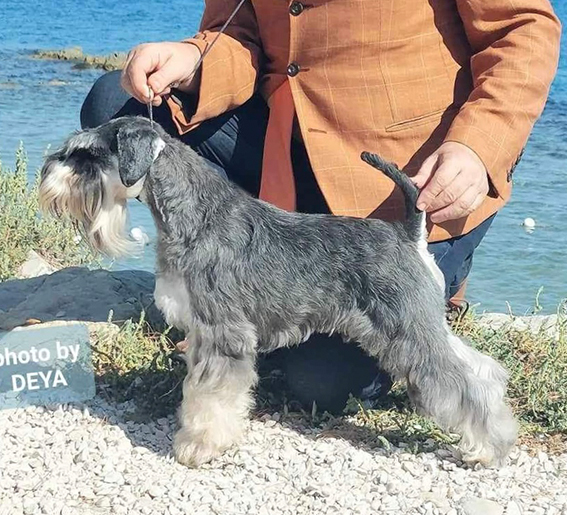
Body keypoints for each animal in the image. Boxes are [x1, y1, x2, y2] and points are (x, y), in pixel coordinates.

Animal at [39, 116, 518, 468]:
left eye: (86, 154)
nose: (47, 175)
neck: (195, 215)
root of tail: (407, 233)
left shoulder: (224, 334)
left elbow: (211, 395)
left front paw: (198, 446)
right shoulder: (202, 333)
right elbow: (201, 389)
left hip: (408, 332)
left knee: (461, 385)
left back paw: (488, 448)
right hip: (423, 326)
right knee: (479, 369)